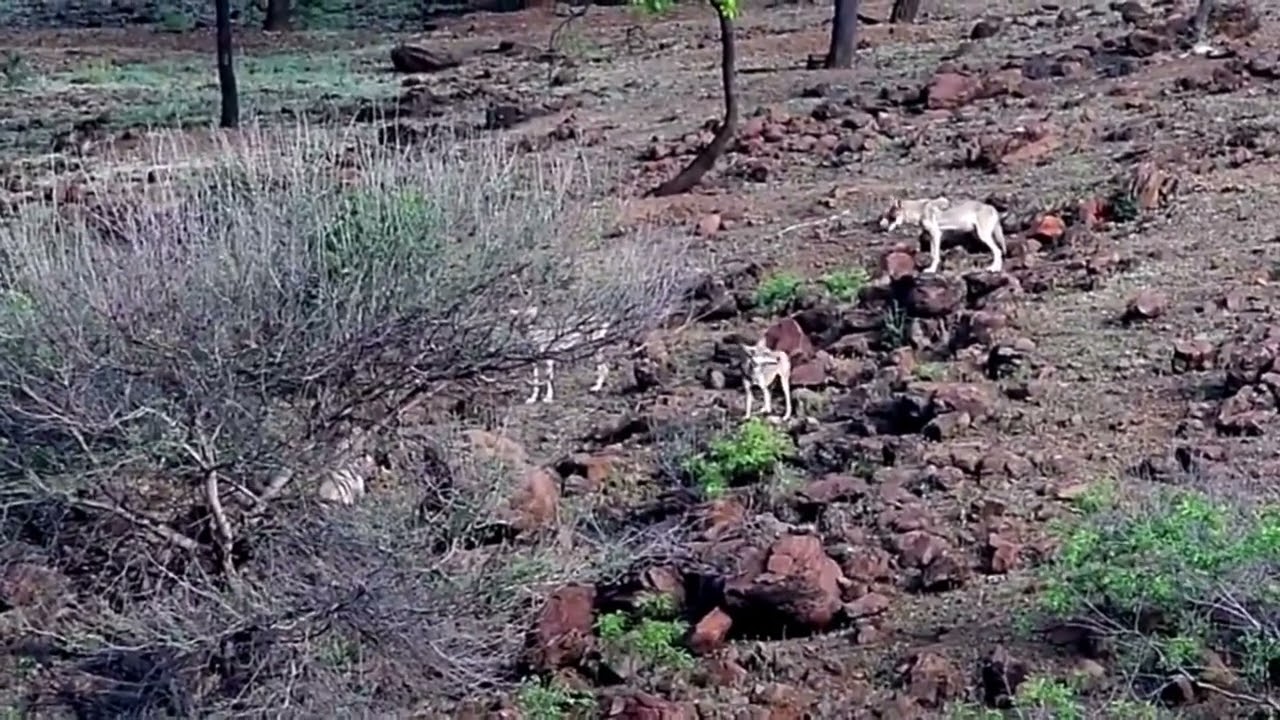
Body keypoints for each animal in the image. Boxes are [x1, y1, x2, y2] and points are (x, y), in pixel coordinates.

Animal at [878, 197, 1007, 274]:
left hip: (983, 236)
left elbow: (935, 256)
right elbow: (932, 254)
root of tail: (991, 207)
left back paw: (994, 269)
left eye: (891, 217)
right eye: (886, 215)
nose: (882, 226)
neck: (920, 211)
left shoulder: (936, 234)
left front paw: (931, 270)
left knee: (998, 251)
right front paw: (931, 268)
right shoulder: (932, 236)